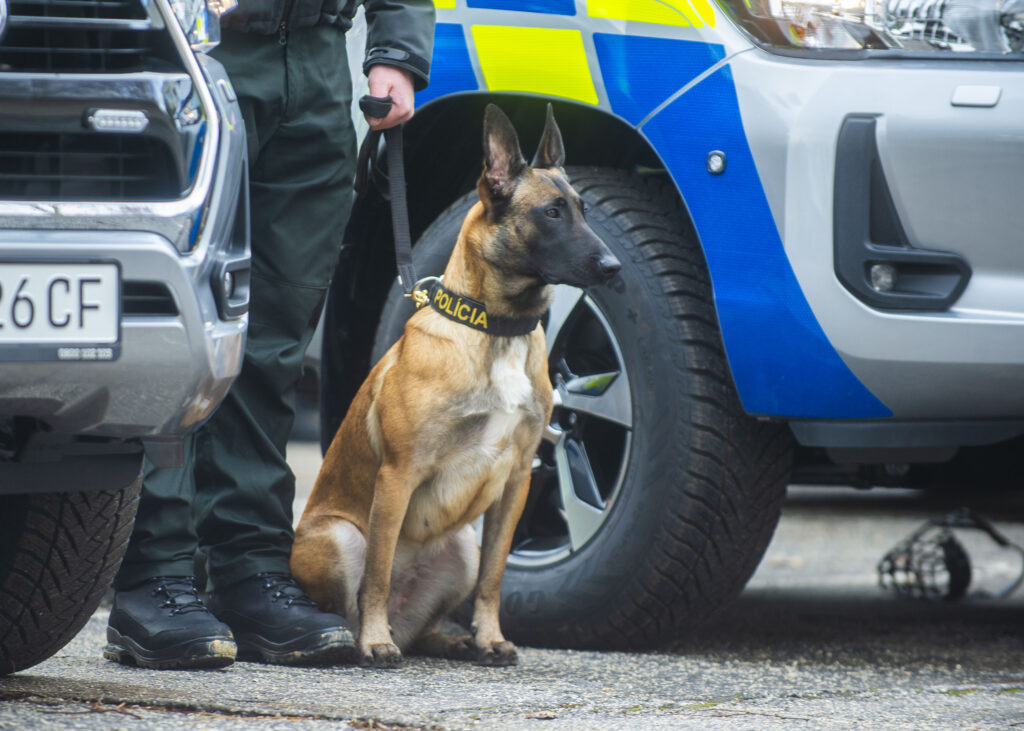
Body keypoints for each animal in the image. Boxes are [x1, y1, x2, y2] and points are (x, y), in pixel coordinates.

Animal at [292, 103, 618, 667]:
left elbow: (493, 578)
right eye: (552, 213)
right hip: (340, 536)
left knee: (425, 626)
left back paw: (451, 640)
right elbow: (376, 574)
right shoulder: (397, 477)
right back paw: (361, 639)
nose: (614, 267)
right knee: (354, 603)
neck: (496, 329)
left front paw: (489, 637)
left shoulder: (516, 482)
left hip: (462, 546)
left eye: (581, 209)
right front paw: (374, 642)